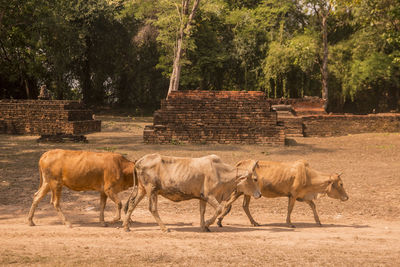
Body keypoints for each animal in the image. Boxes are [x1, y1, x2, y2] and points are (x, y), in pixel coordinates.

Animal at [122, 154, 260, 233]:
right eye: (255, 179)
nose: (259, 194)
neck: (220, 171)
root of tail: (139, 161)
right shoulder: (209, 195)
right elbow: (220, 208)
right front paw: (207, 223)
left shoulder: (202, 197)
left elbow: (202, 211)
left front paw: (204, 226)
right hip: (152, 190)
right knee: (152, 208)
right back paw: (164, 228)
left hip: (142, 189)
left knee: (132, 203)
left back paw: (126, 227)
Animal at [217, 160, 348, 229]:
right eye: (341, 184)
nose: (347, 197)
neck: (308, 175)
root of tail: (241, 163)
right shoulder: (293, 196)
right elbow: (290, 209)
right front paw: (289, 223)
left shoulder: (303, 196)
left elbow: (313, 206)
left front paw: (318, 222)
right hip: (239, 191)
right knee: (228, 204)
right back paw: (219, 221)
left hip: (247, 193)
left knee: (244, 206)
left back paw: (254, 222)